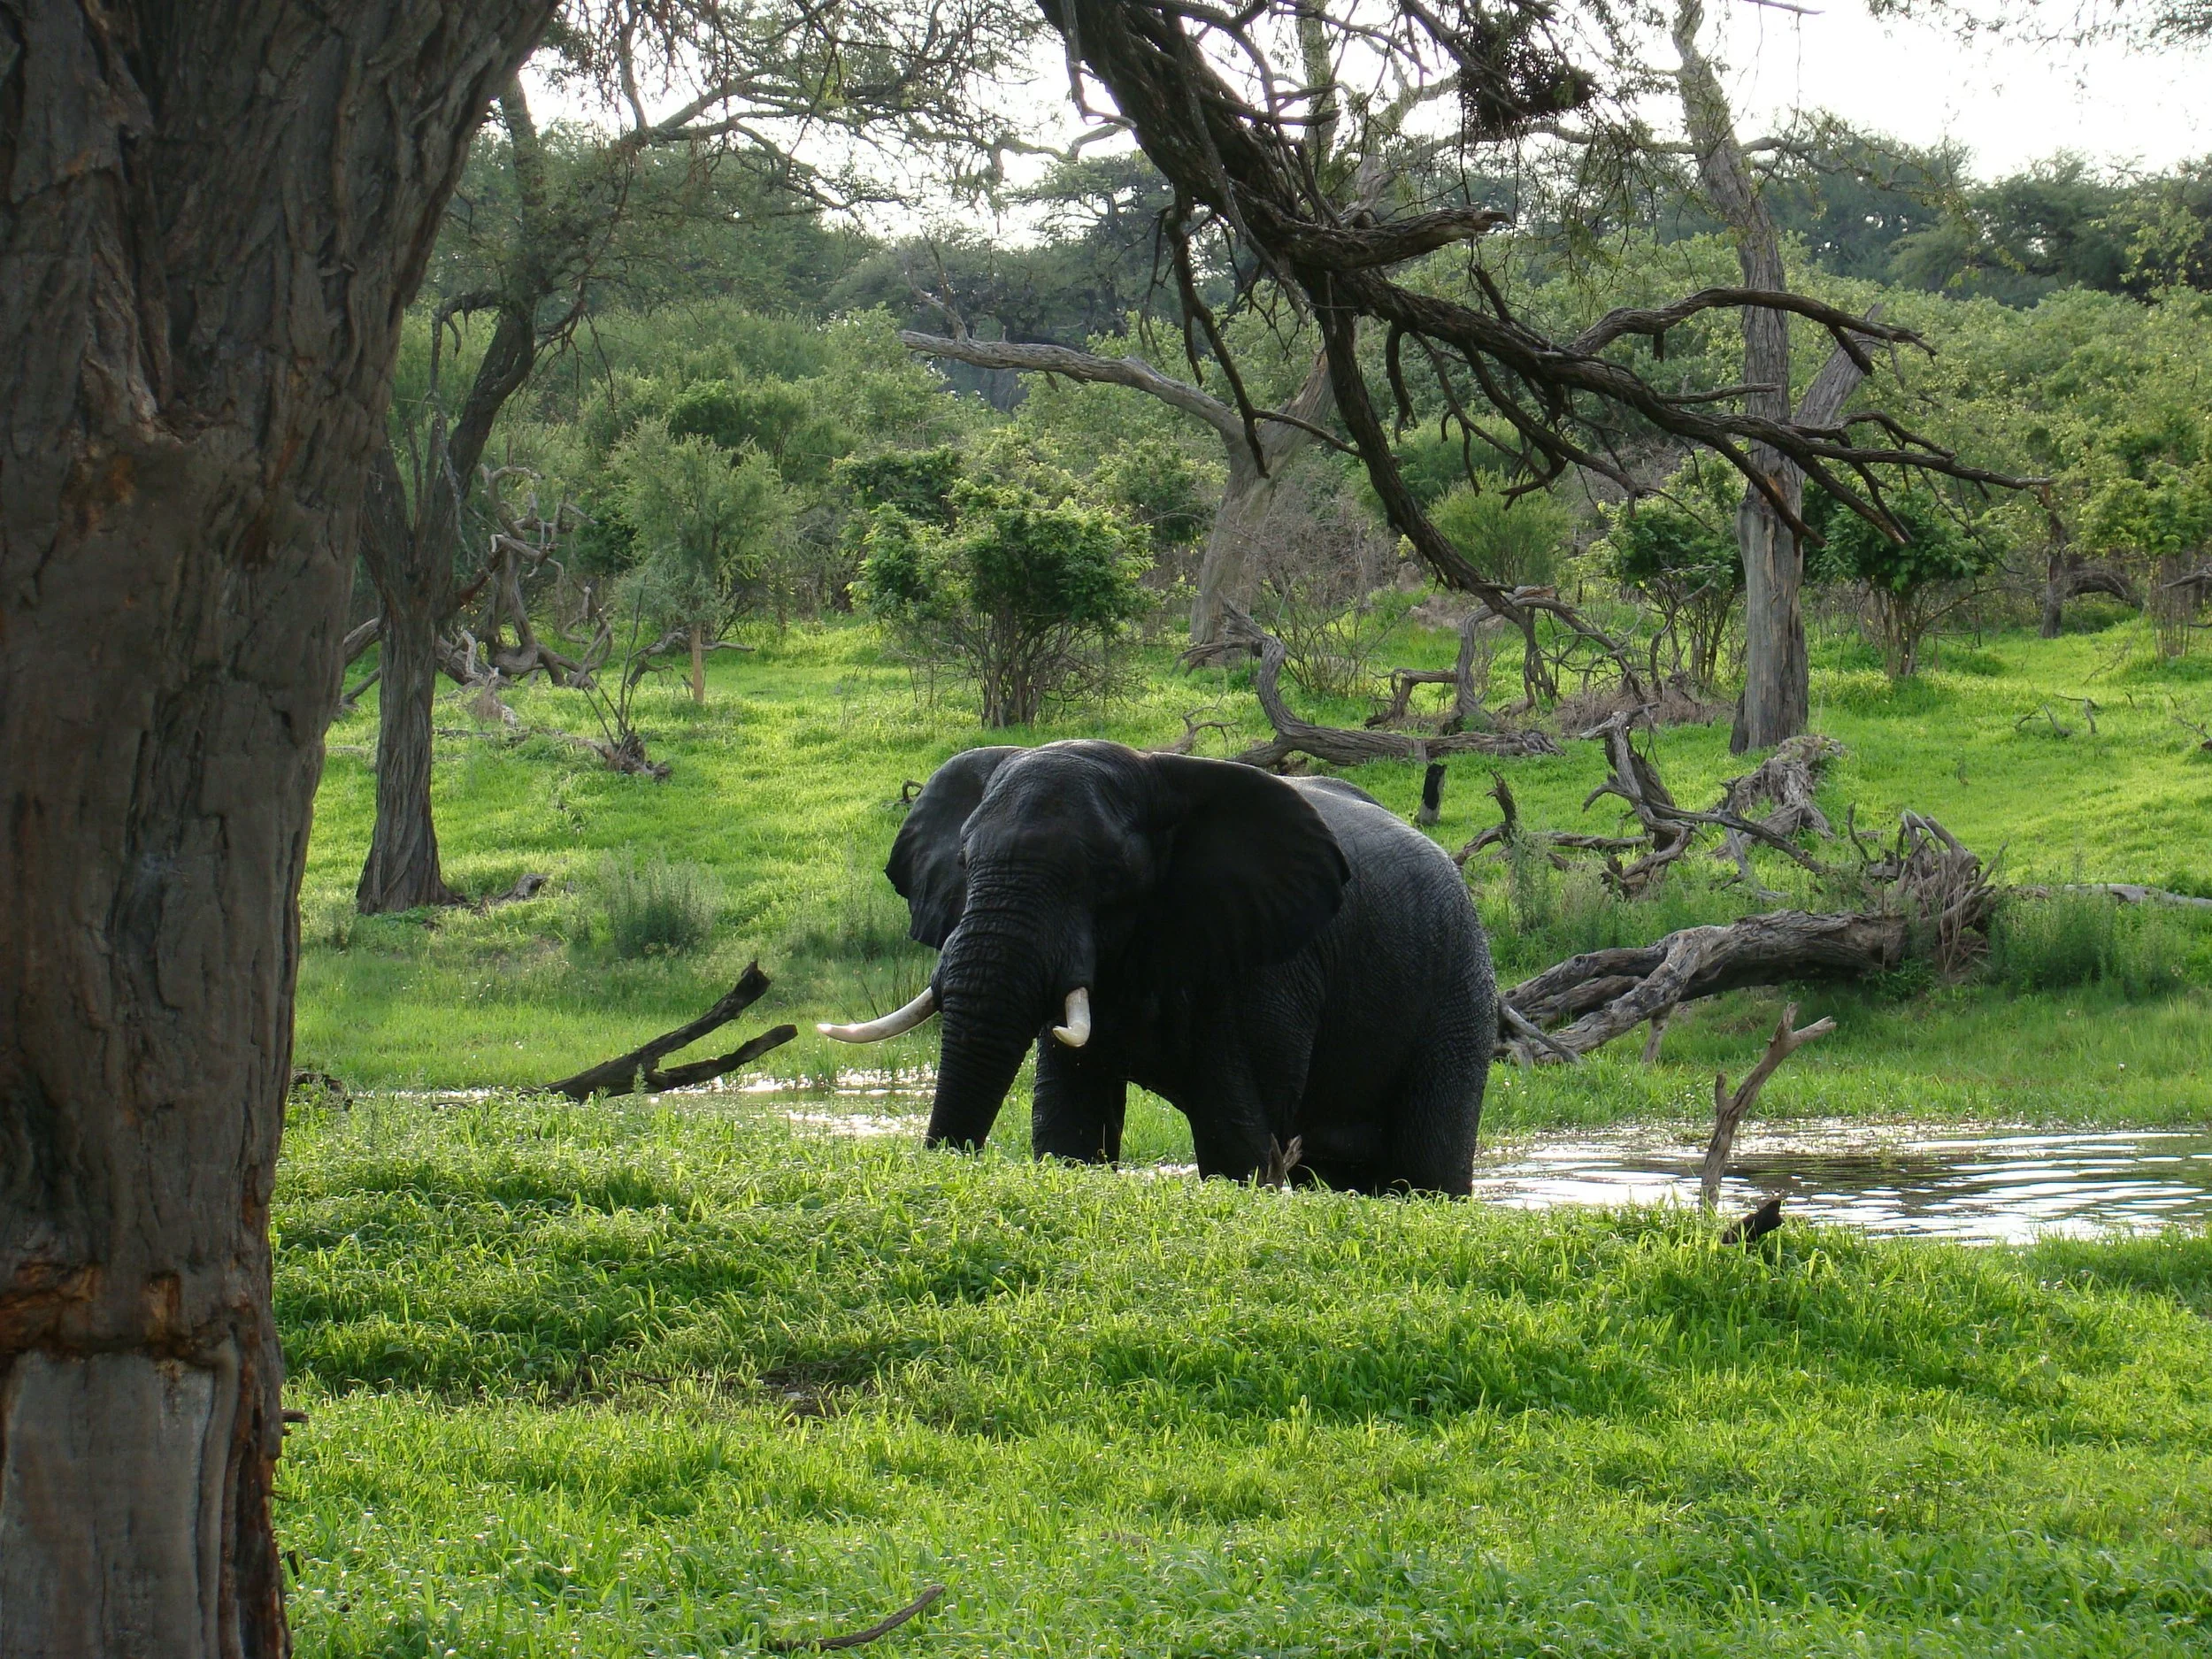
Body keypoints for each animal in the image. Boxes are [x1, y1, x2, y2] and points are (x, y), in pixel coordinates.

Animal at [818, 739, 1497, 1195]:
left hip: (1459, 989)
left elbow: (1235, 1134)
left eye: (1108, 876)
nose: (946, 1164)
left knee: (1429, 1166)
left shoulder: (1266, 963)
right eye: (964, 862)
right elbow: (1069, 1119)